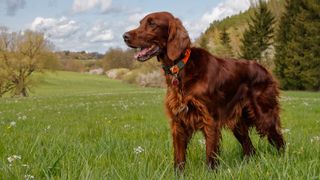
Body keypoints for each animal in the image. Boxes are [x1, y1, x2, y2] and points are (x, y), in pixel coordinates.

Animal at [122, 11, 284, 171]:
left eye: (152, 24)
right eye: (140, 23)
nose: (124, 36)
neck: (180, 69)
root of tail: (265, 69)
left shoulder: (210, 119)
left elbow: (210, 155)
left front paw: (210, 172)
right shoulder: (178, 121)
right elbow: (179, 159)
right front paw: (179, 174)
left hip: (264, 115)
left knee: (279, 140)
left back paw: (282, 160)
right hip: (238, 123)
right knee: (250, 148)